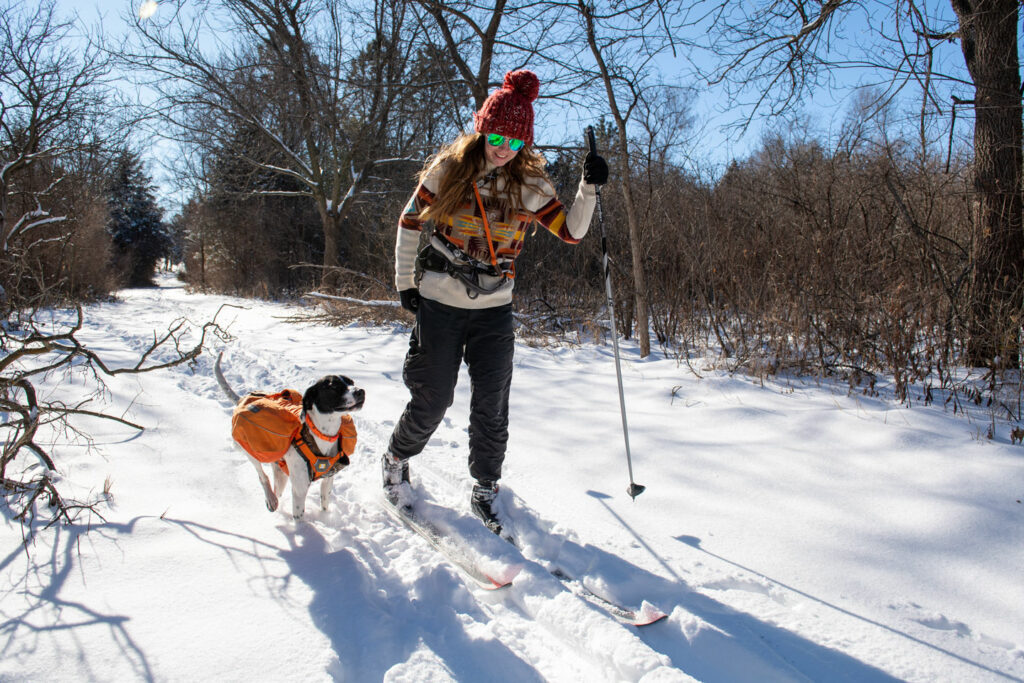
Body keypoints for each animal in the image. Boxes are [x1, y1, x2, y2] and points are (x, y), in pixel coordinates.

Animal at [214, 352, 366, 518]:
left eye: (351, 382)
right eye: (334, 386)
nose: (361, 391)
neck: (321, 435)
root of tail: (242, 399)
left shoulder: (327, 482)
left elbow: (325, 505)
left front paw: (325, 518)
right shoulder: (299, 490)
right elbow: (299, 516)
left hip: (281, 473)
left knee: (276, 487)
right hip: (248, 449)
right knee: (262, 476)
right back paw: (270, 499)